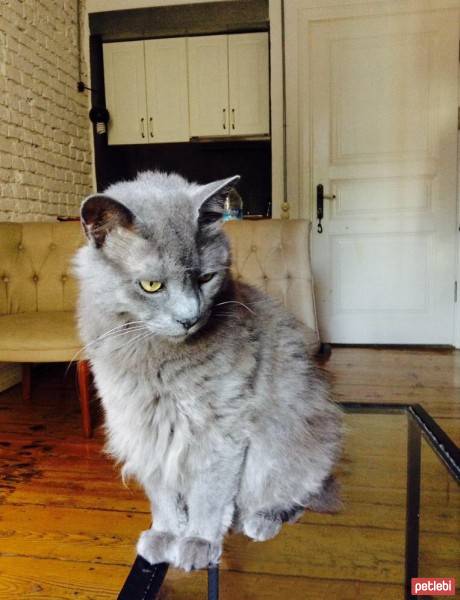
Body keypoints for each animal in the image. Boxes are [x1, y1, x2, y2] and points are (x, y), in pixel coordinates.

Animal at [74, 170, 342, 572]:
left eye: (205, 279)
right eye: (151, 285)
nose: (190, 318)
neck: (155, 363)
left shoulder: (219, 429)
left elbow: (208, 495)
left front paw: (198, 542)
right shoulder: (144, 426)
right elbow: (163, 495)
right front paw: (166, 535)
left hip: (288, 447)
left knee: (295, 496)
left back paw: (258, 521)